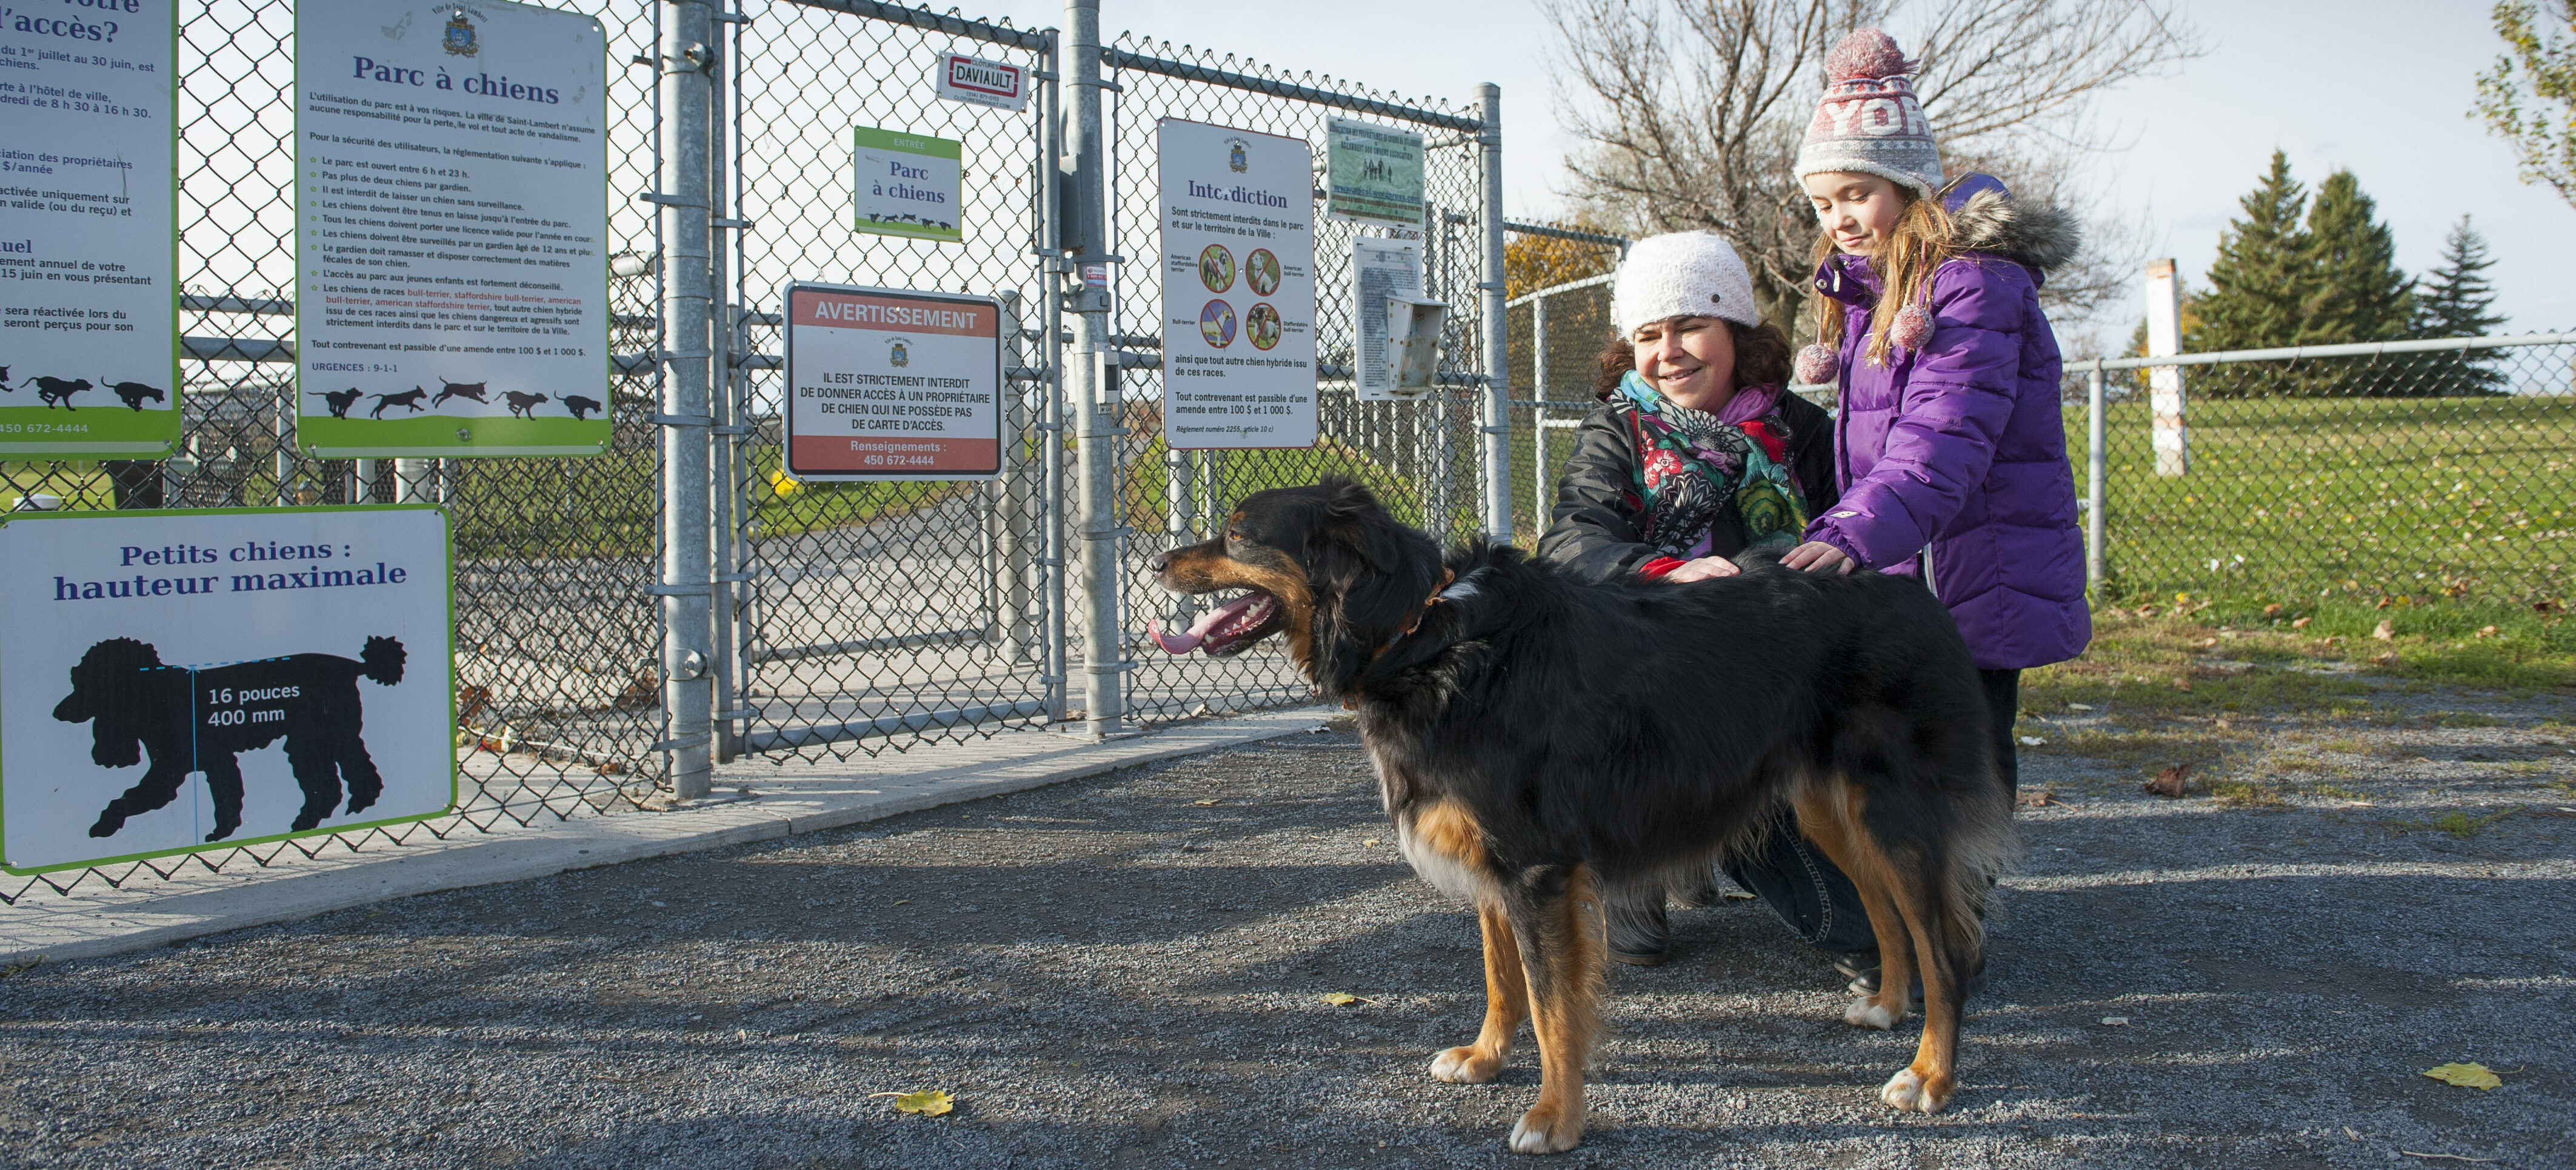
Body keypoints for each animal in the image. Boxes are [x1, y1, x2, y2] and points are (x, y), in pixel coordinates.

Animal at [1149, 479, 2009, 1154]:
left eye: (1238, 532)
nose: (1157, 560)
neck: (1420, 633)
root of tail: (1915, 595)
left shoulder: (1537, 867)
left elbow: (1550, 1002)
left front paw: (1554, 1118)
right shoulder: (1491, 860)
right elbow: (1501, 979)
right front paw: (1485, 1059)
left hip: (1892, 808)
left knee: (1945, 947)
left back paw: (1931, 1075)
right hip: (1830, 806)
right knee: (1886, 911)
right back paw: (1888, 1006)